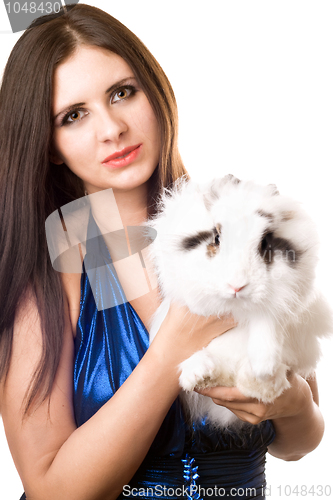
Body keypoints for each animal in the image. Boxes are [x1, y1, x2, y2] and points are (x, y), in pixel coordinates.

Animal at [148, 174, 332, 428]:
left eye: (264, 243)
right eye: (216, 238)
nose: (237, 286)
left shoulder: (289, 295)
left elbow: (267, 318)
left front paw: (264, 366)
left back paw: (261, 379)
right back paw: (199, 372)